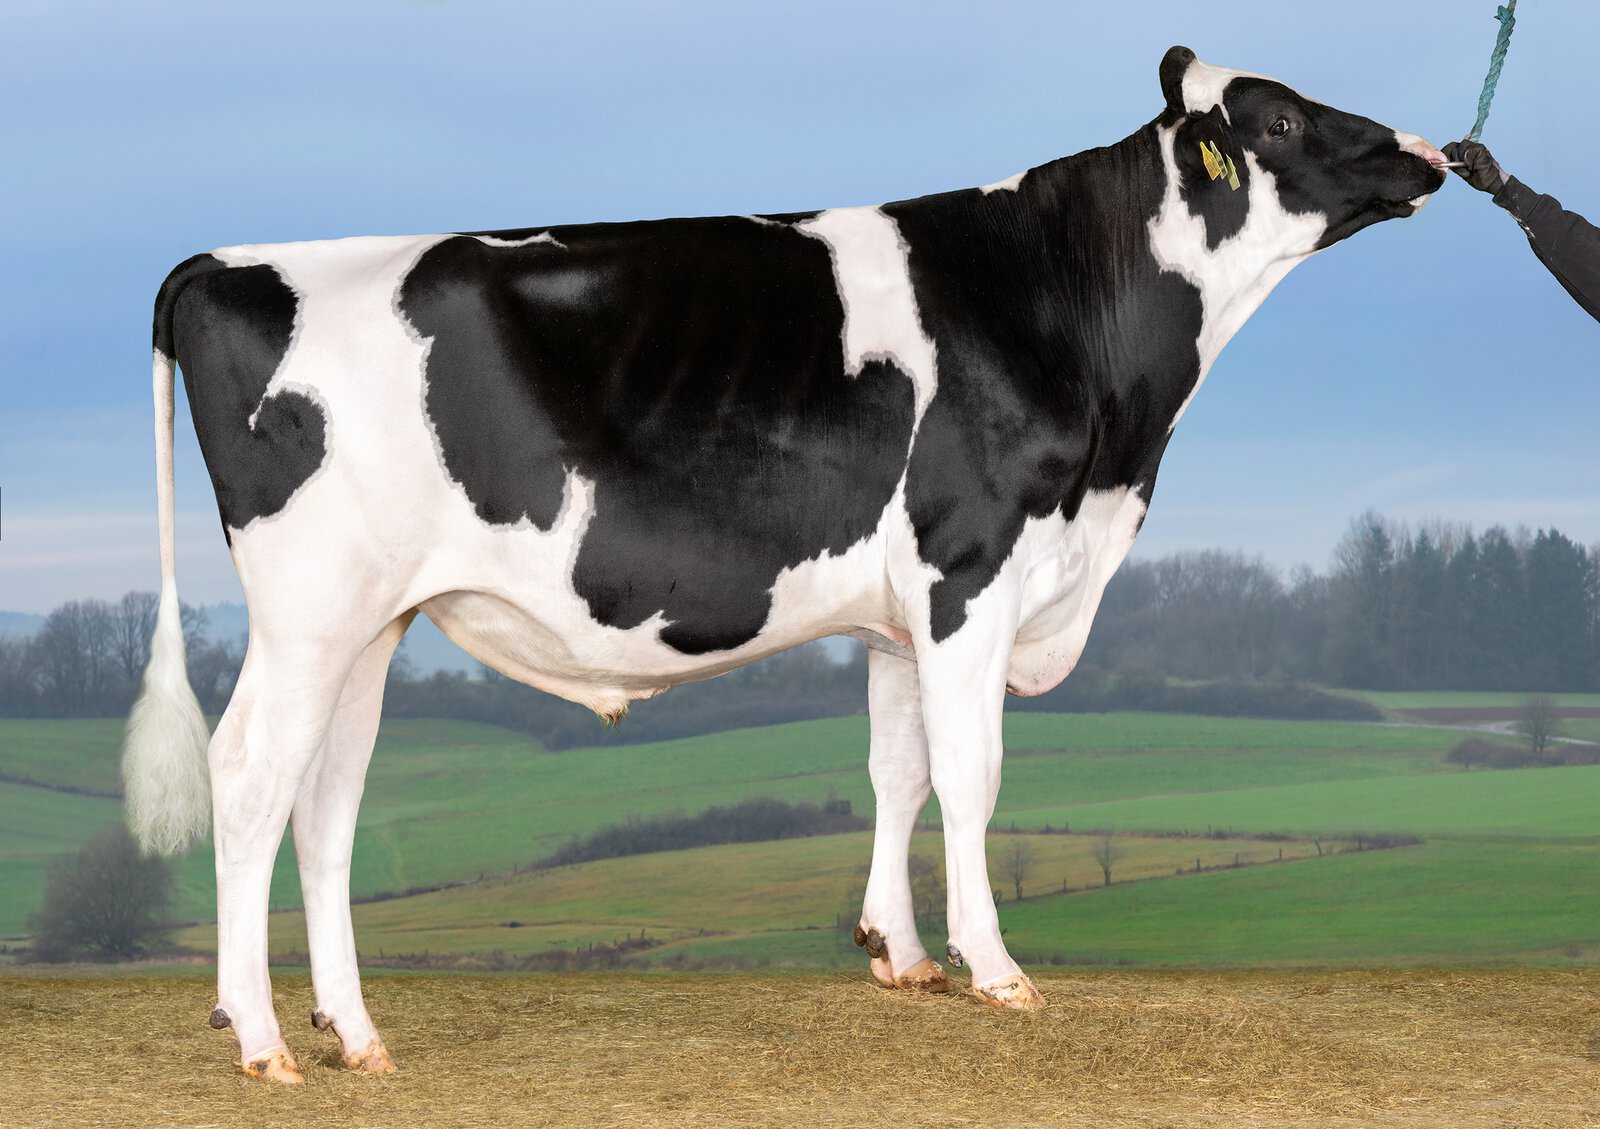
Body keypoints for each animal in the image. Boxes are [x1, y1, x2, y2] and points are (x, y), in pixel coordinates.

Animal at [123, 46, 1449, 1081]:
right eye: (1280, 122)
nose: (1431, 154)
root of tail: (226, 263)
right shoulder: (968, 569)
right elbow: (971, 776)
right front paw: (993, 967)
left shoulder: (898, 614)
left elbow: (896, 771)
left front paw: (900, 955)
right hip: (308, 613)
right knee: (250, 775)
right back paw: (261, 1039)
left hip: (369, 624)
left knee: (326, 804)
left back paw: (352, 1033)